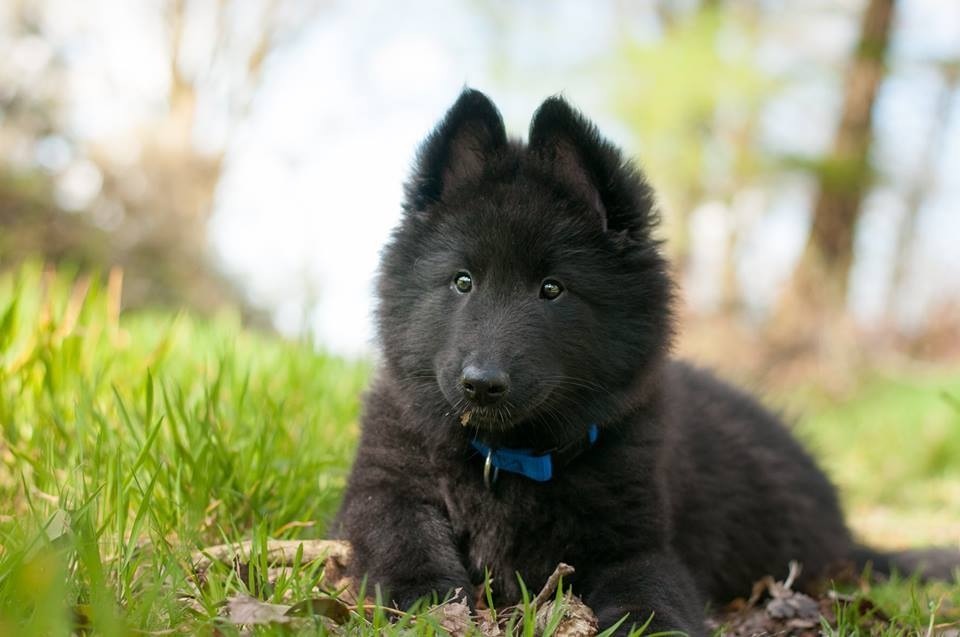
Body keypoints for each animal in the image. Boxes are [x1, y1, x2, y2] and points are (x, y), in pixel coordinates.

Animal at [336, 90, 952, 636]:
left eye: (552, 289)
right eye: (462, 282)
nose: (481, 385)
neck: (506, 460)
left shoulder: (638, 544)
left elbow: (649, 591)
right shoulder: (381, 491)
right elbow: (402, 539)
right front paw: (430, 604)